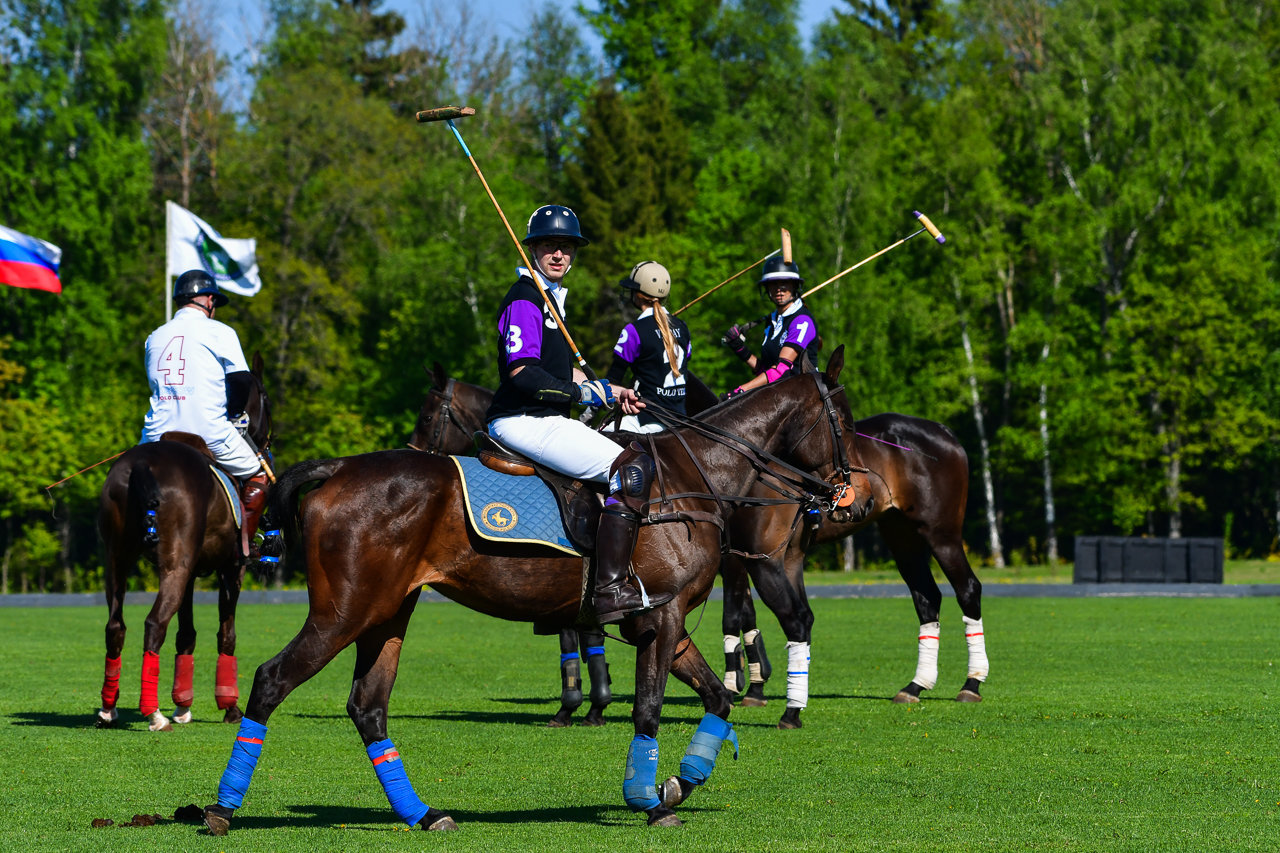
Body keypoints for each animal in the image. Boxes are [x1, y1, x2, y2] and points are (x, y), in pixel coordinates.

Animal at [96, 350, 272, 732]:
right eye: (267, 397)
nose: (267, 445)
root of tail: (141, 466)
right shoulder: (231, 568)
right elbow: (226, 633)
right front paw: (229, 706)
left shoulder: (192, 571)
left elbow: (187, 633)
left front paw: (183, 705)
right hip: (175, 565)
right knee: (153, 623)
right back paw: (153, 713)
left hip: (117, 558)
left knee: (116, 625)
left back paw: (108, 709)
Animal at [202, 348, 860, 829]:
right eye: (845, 422)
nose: (848, 496)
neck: (697, 475)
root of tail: (337, 468)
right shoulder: (662, 616)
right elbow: (648, 708)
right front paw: (649, 802)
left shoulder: (662, 623)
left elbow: (718, 699)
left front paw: (678, 784)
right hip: (343, 610)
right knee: (273, 680)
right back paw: (221, 810)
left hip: (388, 611)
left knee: (368, 705)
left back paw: (423, 814)